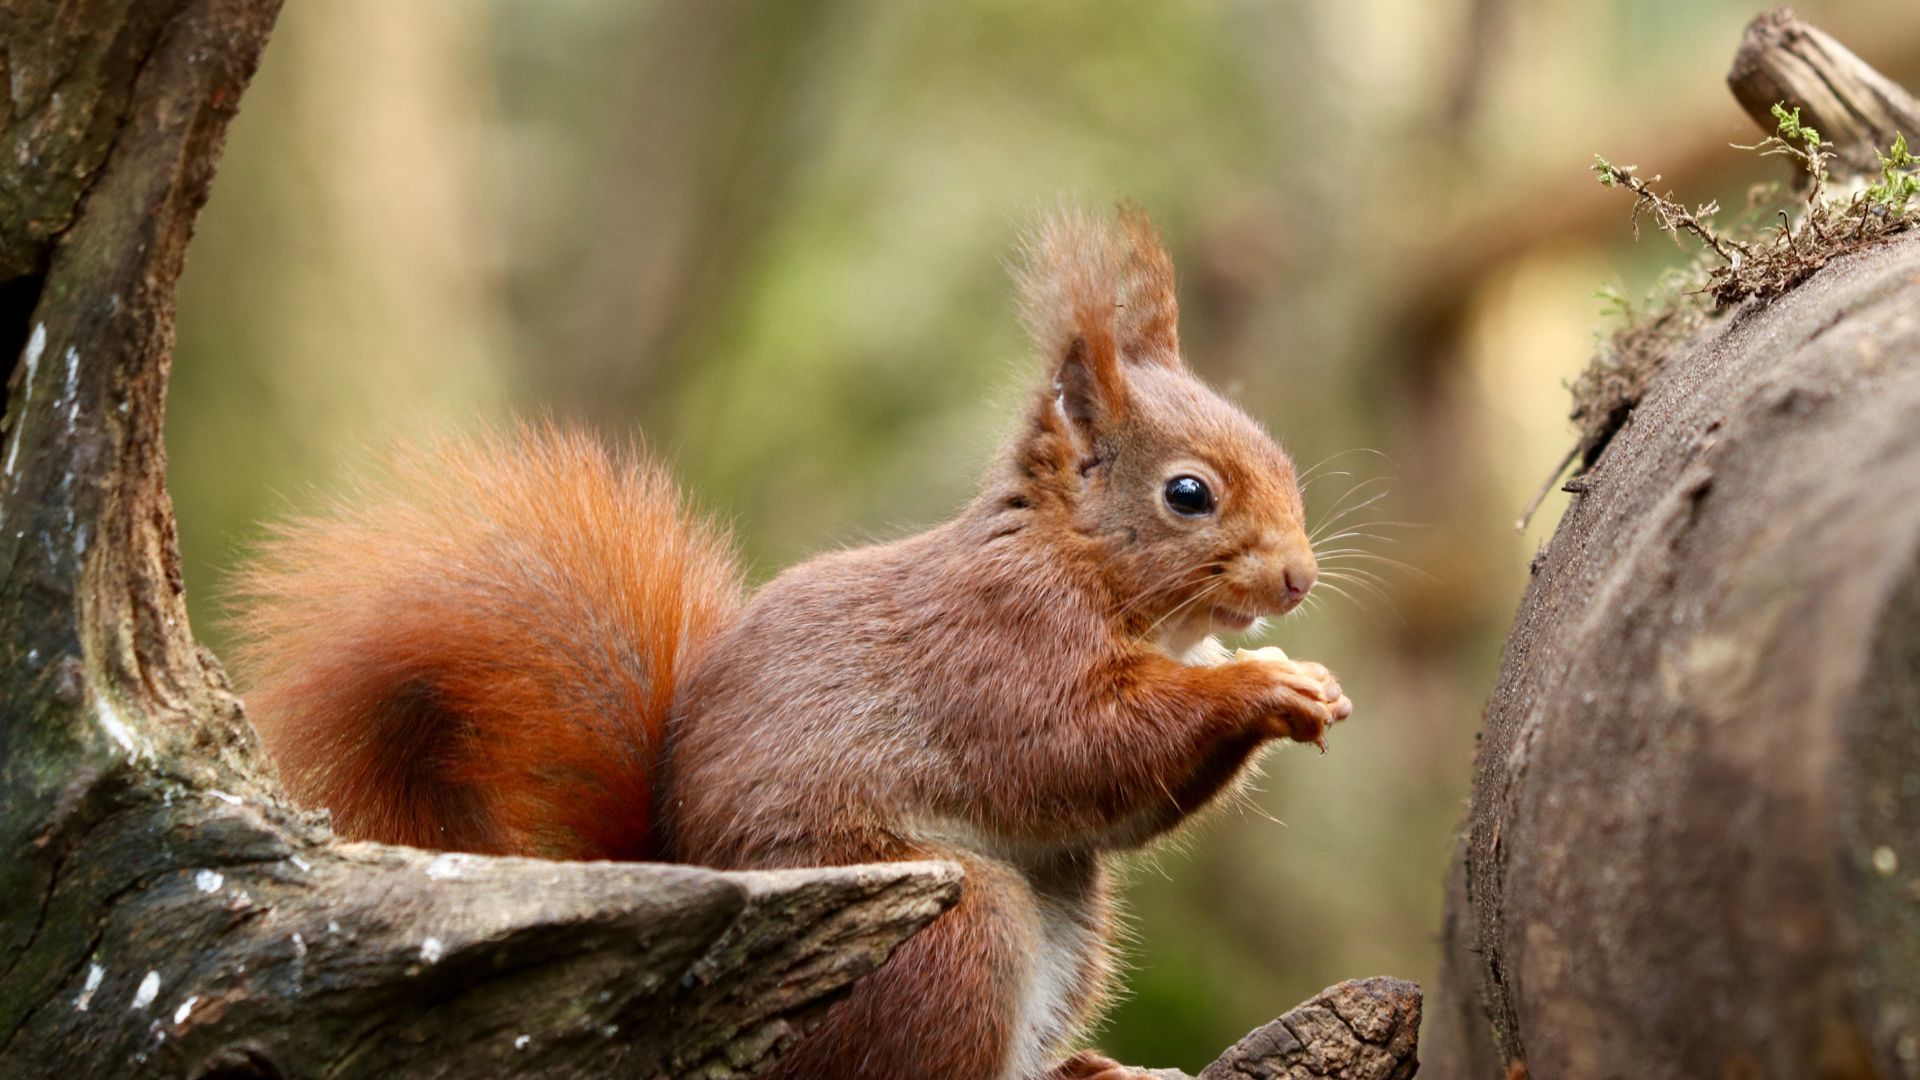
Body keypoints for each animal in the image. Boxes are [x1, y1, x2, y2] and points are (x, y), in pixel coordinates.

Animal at [231, 205, 1352, 1080]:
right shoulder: (996, 650)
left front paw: (1298, 679)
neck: (1075, 562)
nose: (1297, 579)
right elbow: (1078, 750)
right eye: (1188, 494)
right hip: (952, 928)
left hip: (1067, 921)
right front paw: (1265, 691)